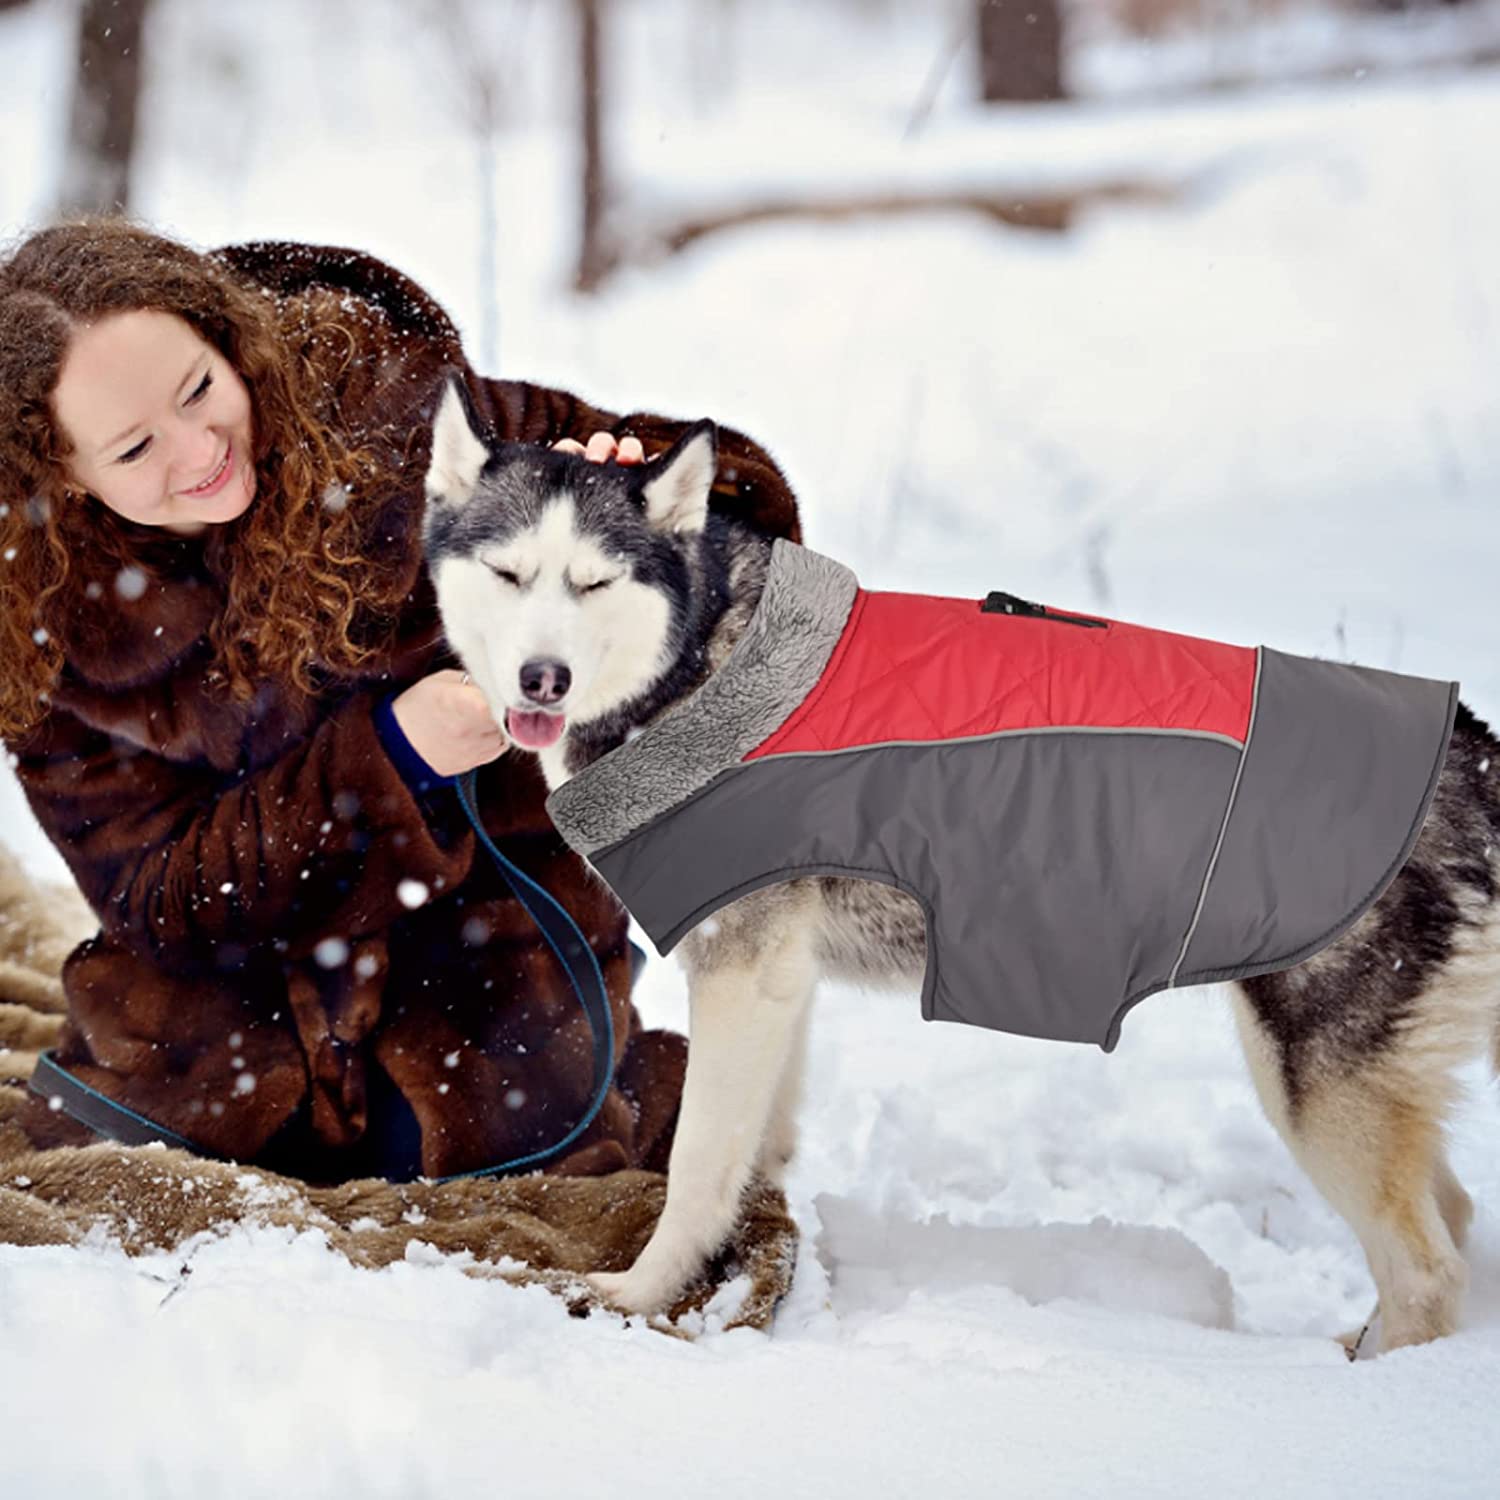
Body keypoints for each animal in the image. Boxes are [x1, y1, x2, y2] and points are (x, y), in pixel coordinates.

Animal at [420, 384, 1500, 1350]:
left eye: (595, 583)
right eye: (510, 574)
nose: (542, 678)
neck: (696, 668)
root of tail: (1476, 756)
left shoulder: (740, 968)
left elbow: (696, 1170)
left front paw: (642, 1295)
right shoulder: (780, 981)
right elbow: (757, 1152)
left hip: (1312, 1084)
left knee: (1428, 1269)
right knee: (1454, 1219)